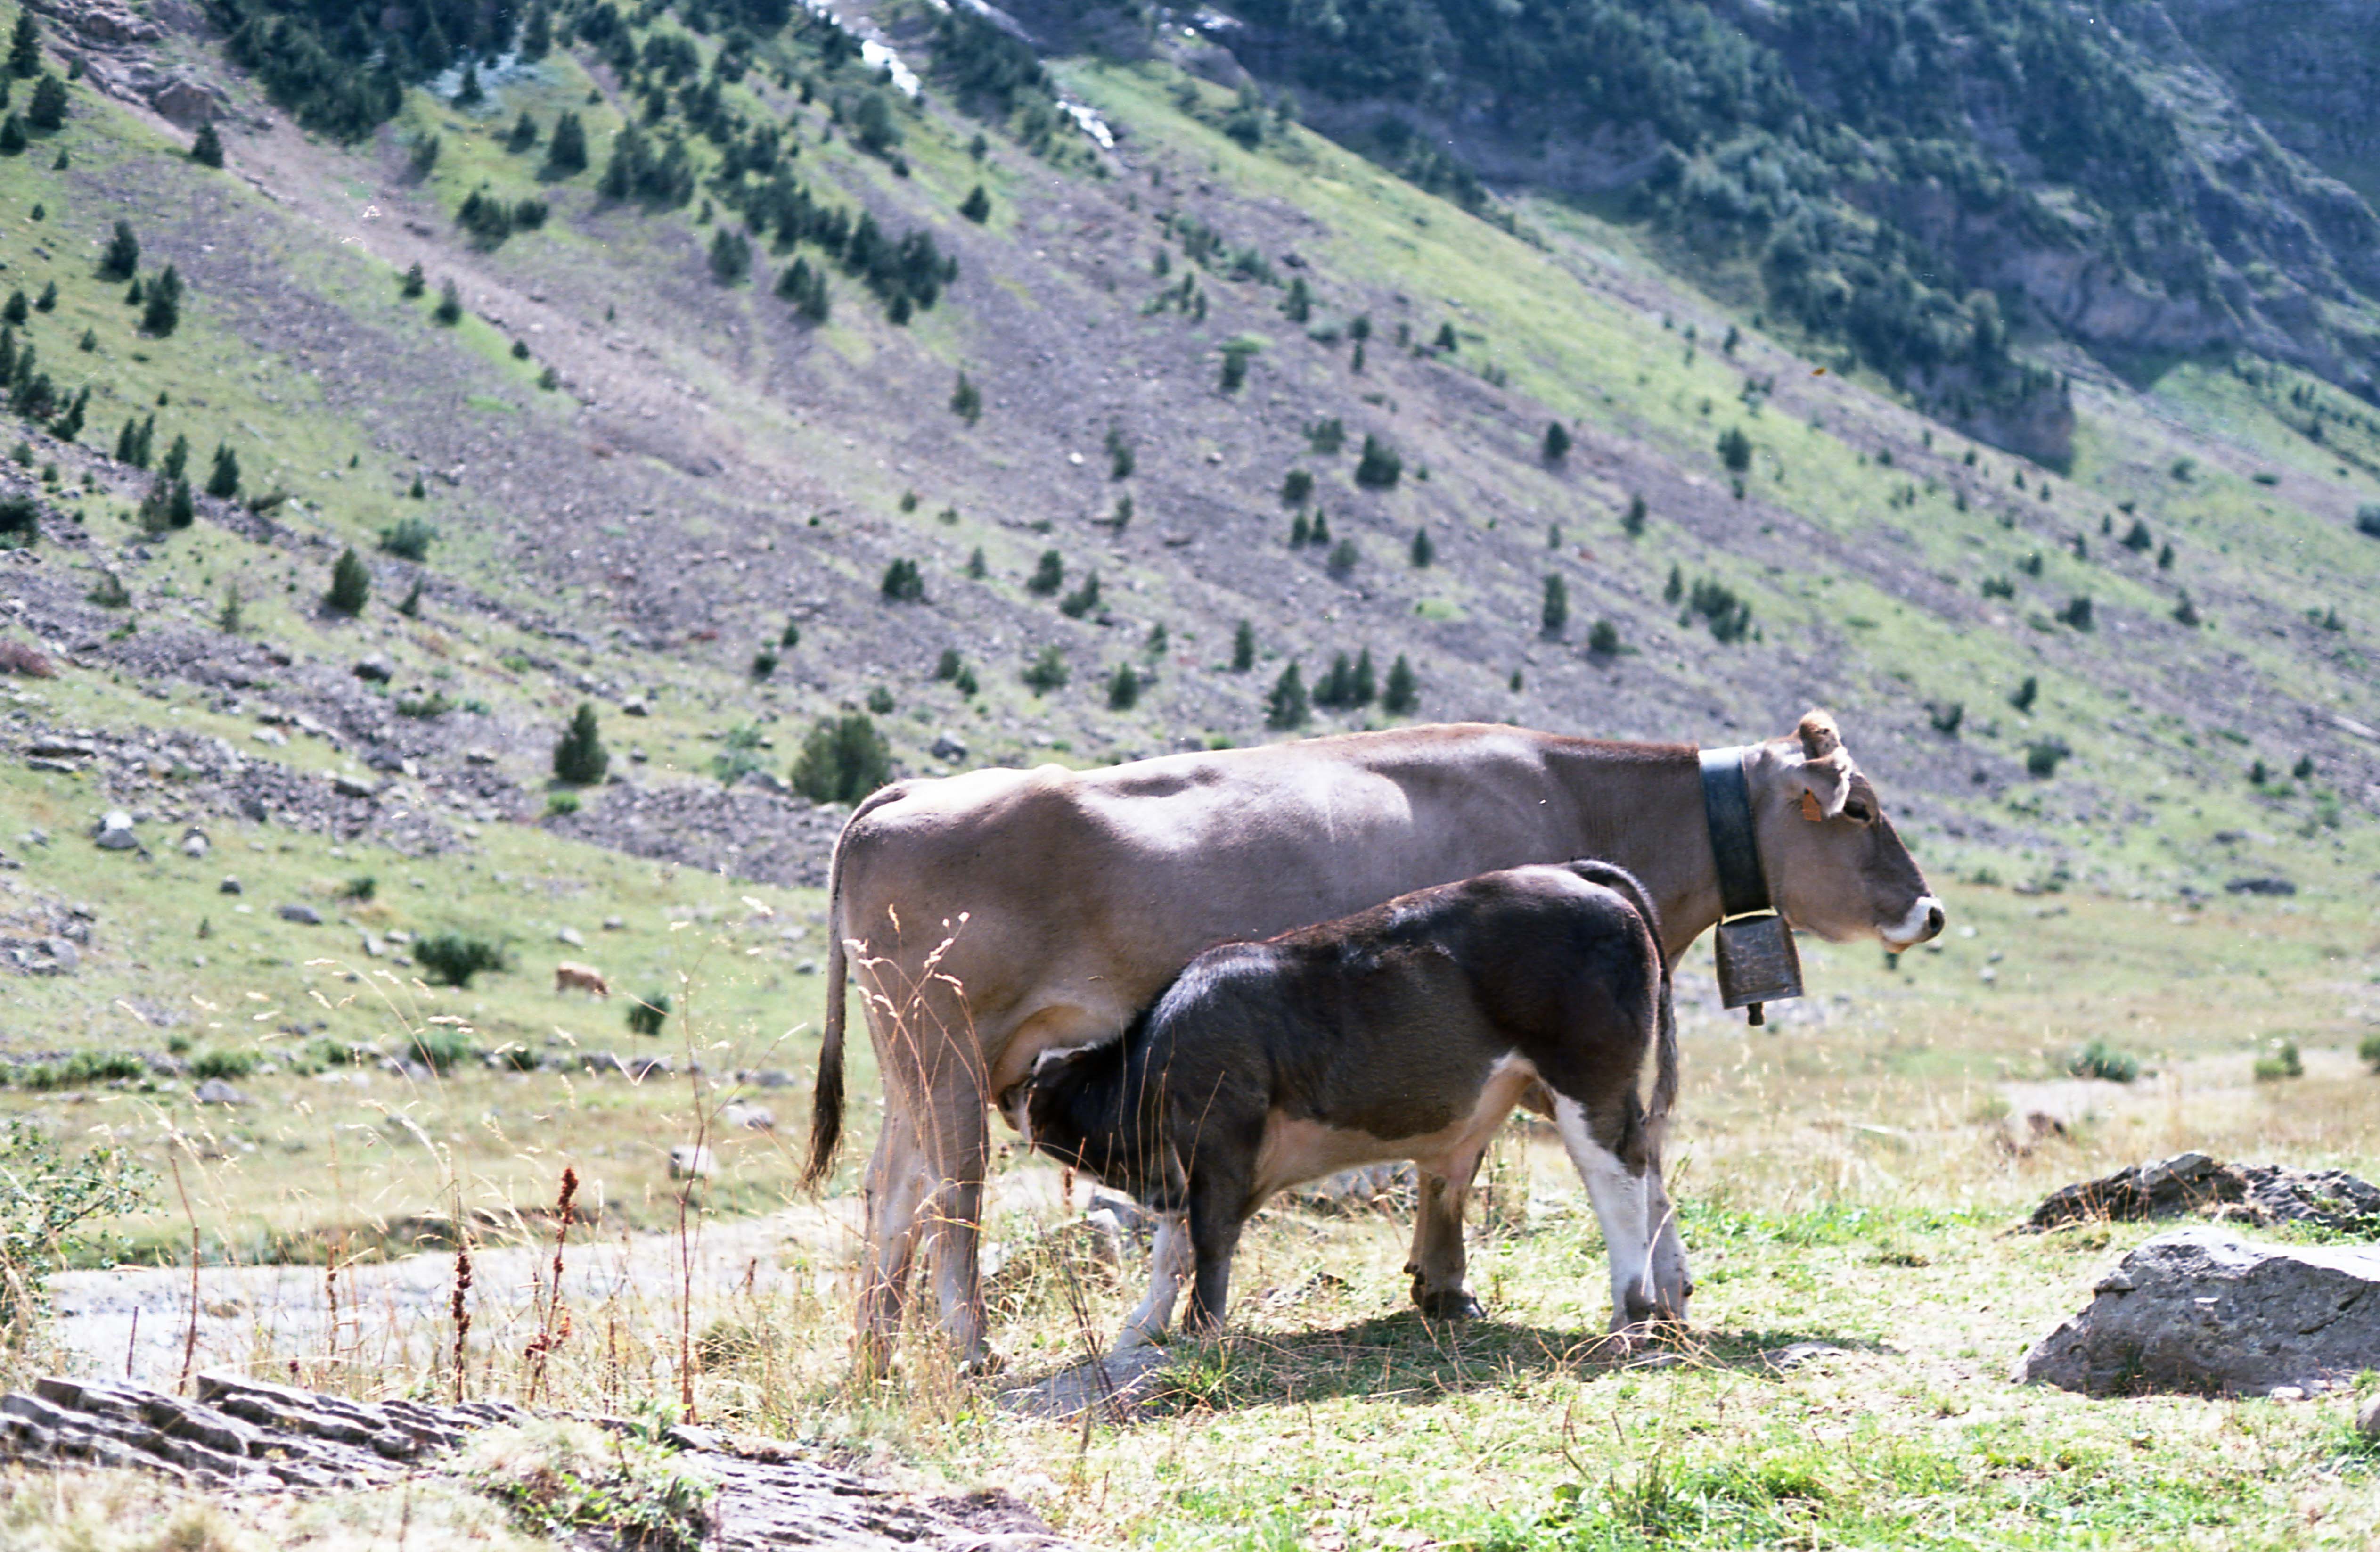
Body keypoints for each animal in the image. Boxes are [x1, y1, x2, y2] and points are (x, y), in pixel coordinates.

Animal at [1006, 861, 1682, 1348]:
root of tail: (1572, 871)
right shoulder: (1185, 1164)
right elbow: (1169, 1248)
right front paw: (1141, 1329)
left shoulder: (1218, 1133)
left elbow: (1207, 1237)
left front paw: (1201, 1334)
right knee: (1647, 1157)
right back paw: (1668, 1305)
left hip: (1585, 1070)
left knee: (1615, 1171)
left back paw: (1628, 1318)